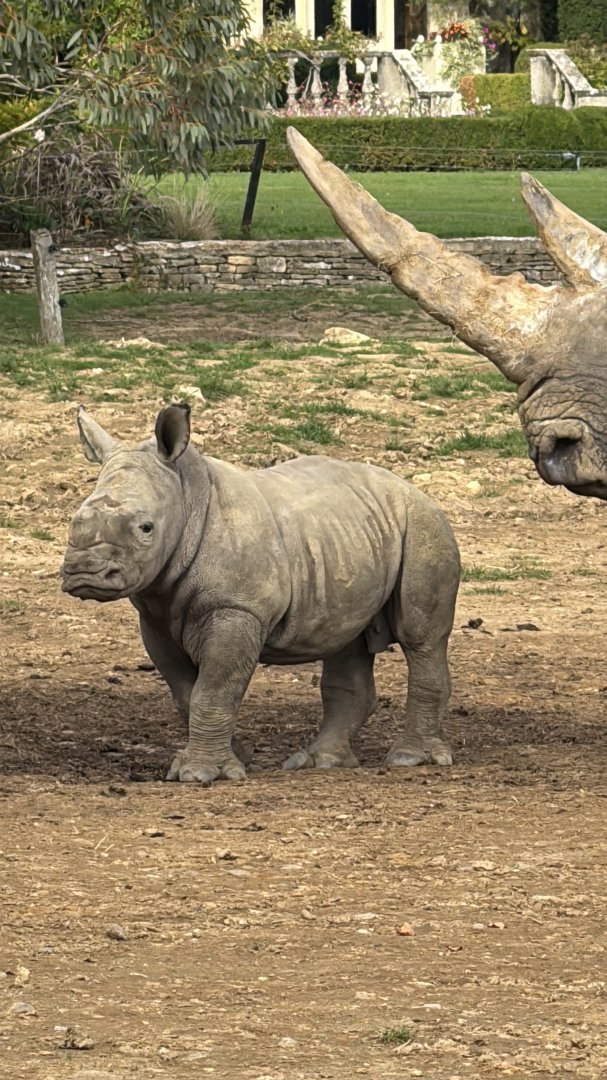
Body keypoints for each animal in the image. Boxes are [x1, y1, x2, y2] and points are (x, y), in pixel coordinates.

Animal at [61, 404, 460, 784]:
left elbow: (214, 689)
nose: (84, 573)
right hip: (351, 535)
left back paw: (409, 758)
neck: (186, 496)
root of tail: (416, 491)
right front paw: (234, 758)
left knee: (420, 636)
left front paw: (201, 773)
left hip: (423, 525)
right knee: (346, 638)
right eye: (74, 519)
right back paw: (319, 762)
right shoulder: (155, 617)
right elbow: (186, 693)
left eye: (146, 528)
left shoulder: (238, 608)